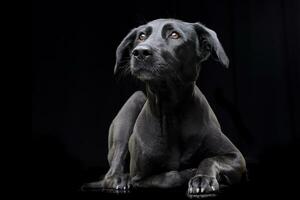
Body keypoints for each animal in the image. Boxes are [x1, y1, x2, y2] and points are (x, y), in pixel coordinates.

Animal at [83, 19, 247, 198]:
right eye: (141, 36)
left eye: (174, 35)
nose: (140, 52)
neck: (171, 111)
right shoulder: (139, 177)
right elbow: (170, 177)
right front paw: (191, 173)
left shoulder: (237, 157)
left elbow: (210, 159)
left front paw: (203, 178)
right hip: (131, 107)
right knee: (111, 173)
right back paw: (120, 179)